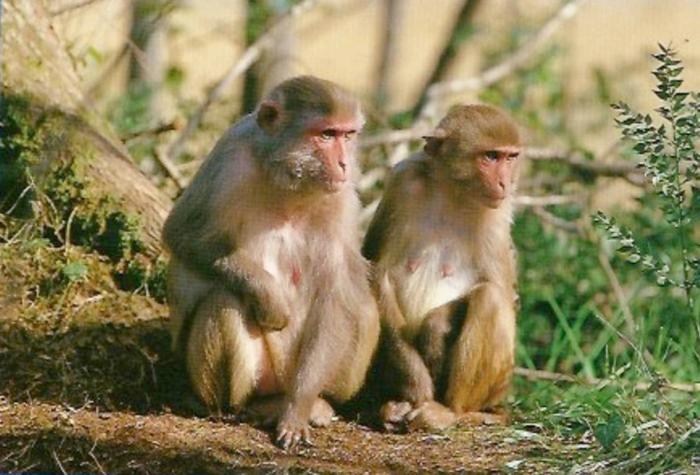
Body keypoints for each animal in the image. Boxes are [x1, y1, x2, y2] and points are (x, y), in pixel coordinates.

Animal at [162, 76, 379, 450]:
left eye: (348, 135)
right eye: (327, 134)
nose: (343, 164)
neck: (287, 182)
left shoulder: (341, 199)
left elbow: (334, 296)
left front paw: (297, 409)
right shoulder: (229, 159)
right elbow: (182, 234)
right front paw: (269, 296)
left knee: (364, 308)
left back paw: (311, 403)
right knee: (224, 300)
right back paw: (234, 406)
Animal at [363, 104, 521, 432]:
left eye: (510, 157)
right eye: (491, 157)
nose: (505, 182)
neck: (454, 192)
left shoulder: (497, 216)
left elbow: (505, 294)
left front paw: (436, 327)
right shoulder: (402, 181)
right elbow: (374, 266)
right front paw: (415, 388)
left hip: (498, 386)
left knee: (489, 298)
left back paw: (451, 411)